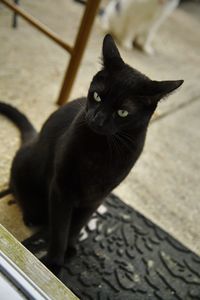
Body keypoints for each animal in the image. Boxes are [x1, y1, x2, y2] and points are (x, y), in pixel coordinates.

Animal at [0, 34, 183, 274]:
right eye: (97, 96)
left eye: (122, 112)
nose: (97, 119)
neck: (100, 151)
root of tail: (33, 138)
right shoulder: (61, 190)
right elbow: (61, 229)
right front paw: (54, 264)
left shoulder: (97, 197)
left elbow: (76, 226)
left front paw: (70, 249)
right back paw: (31, 216)